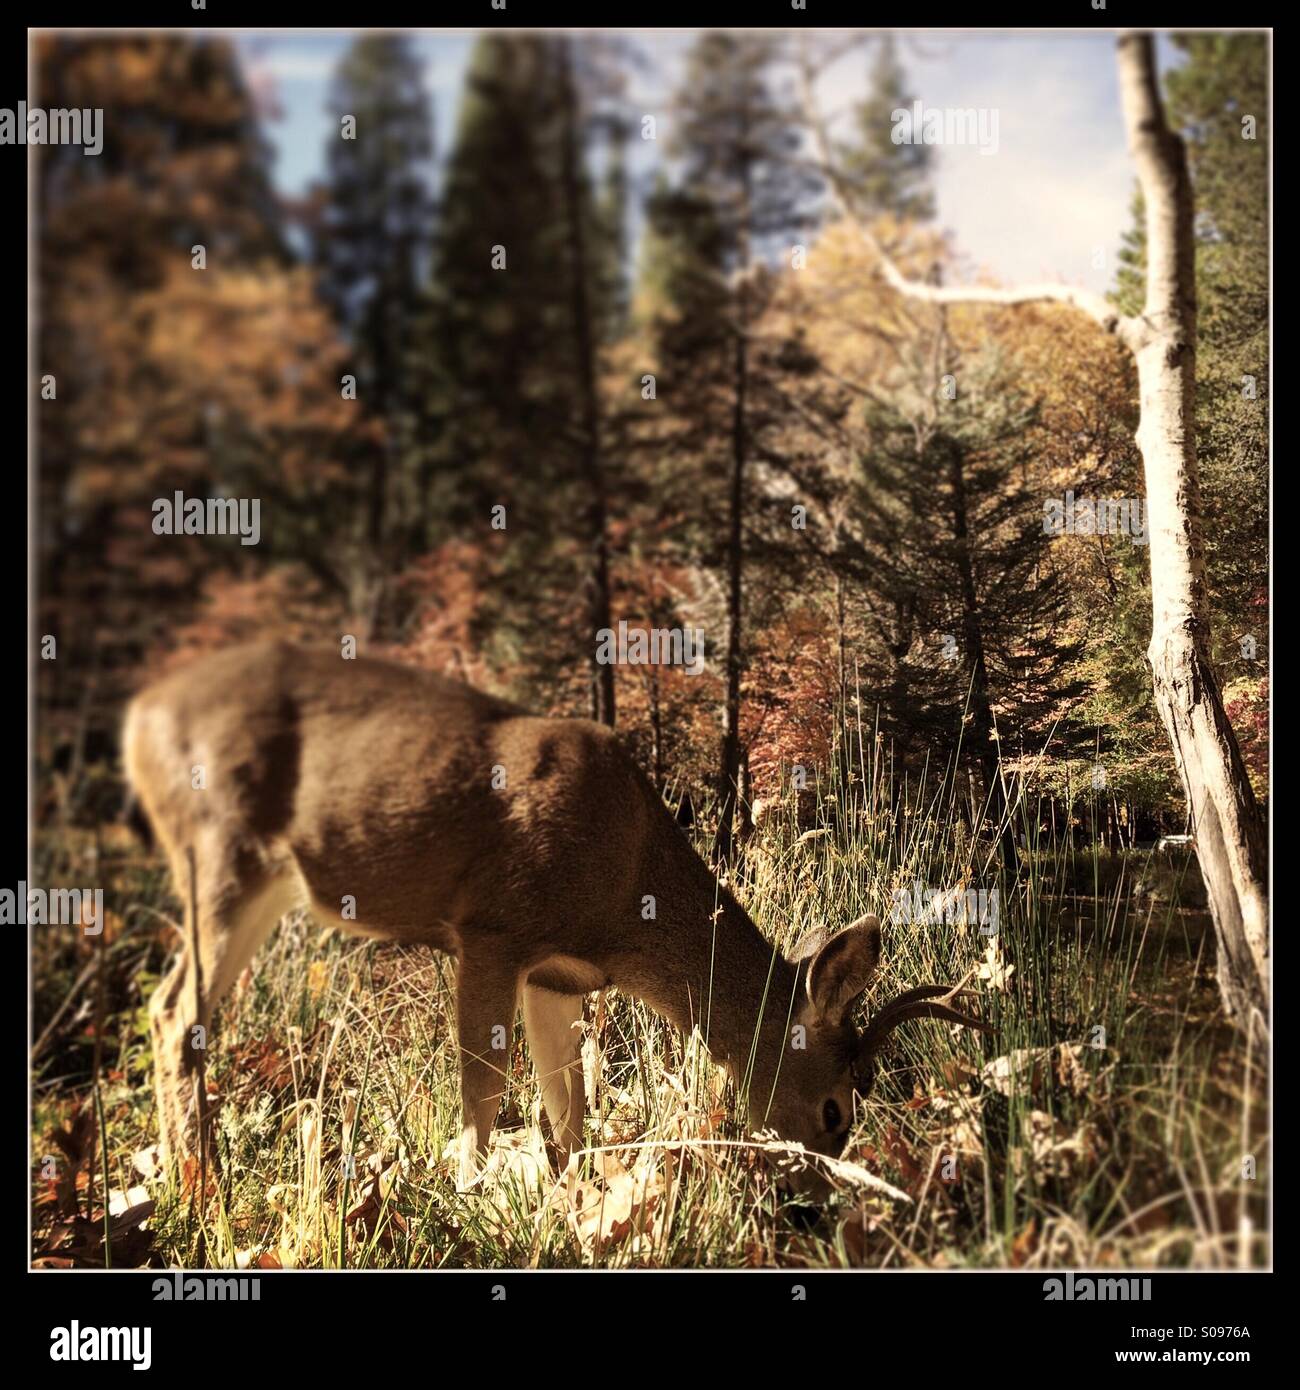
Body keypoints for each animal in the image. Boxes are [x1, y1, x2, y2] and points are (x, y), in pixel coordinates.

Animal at [124, 641, 988, 1193]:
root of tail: (141, 713)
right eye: (837, 1106)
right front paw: (466, 1196)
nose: (819, 1197)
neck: (627, 886)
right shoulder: (492, 928)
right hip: (219, 852)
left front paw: (570, 1205)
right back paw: (195, 1188)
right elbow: (483, 1090)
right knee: (170, 1012)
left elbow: (570, 1112)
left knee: (176, 1013)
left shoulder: (559, 975)